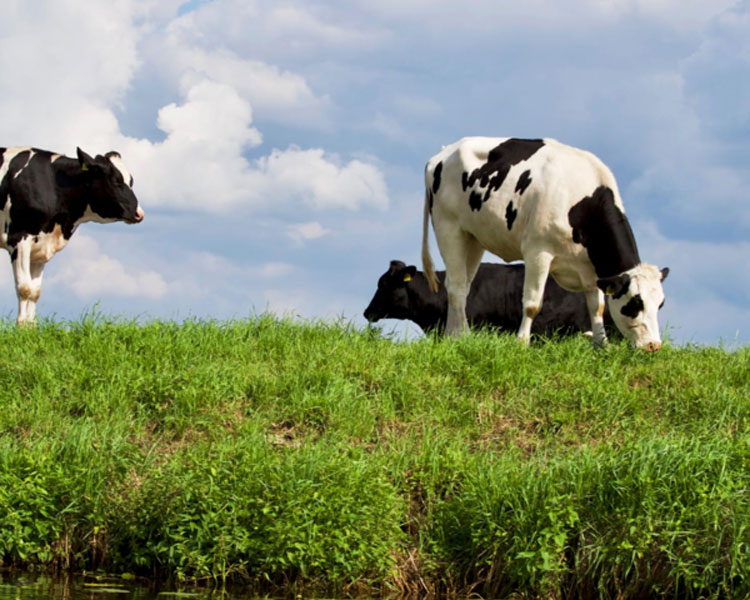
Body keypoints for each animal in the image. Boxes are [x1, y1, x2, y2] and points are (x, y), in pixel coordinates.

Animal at [0, 146, 144, 325]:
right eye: (116, 181)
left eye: (131, 181)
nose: (139, 214)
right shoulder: (18, 238)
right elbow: (25, 288)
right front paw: (21, 327)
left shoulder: (41, 246)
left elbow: (35, 291)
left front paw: (30, 327)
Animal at [422, 137, 669, 350]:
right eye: (636, 303)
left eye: (660, 304)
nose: (654, 346)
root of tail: (443, 153)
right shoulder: (538, 252)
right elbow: (532, 304)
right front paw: (522, 343)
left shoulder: (590, 269)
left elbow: (596, 307)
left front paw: (601, 344)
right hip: (448, 228)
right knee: (455, 286)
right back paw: (461, 335)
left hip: (472, 237)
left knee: (462, 286)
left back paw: (453, 335)